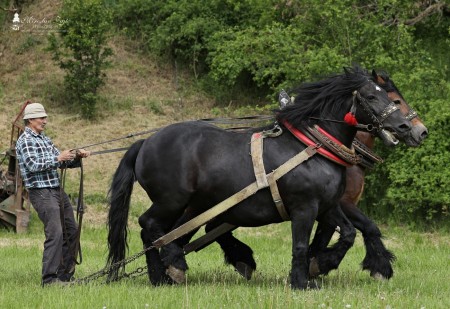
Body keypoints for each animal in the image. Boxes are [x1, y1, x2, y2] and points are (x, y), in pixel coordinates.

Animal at [106, 65, 412, 288]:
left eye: (388, 97)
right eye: (373, 97)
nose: (407, 128)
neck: (312, 147)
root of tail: (146, 142)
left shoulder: (328, 205)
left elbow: (348, 234)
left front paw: (320, 265)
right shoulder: (304, 207)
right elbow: (301, 245)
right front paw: (301, 282)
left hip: (193, 205)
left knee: (163, 233)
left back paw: (163, 276)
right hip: (173, 201)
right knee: (150, 227)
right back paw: (173, 267)